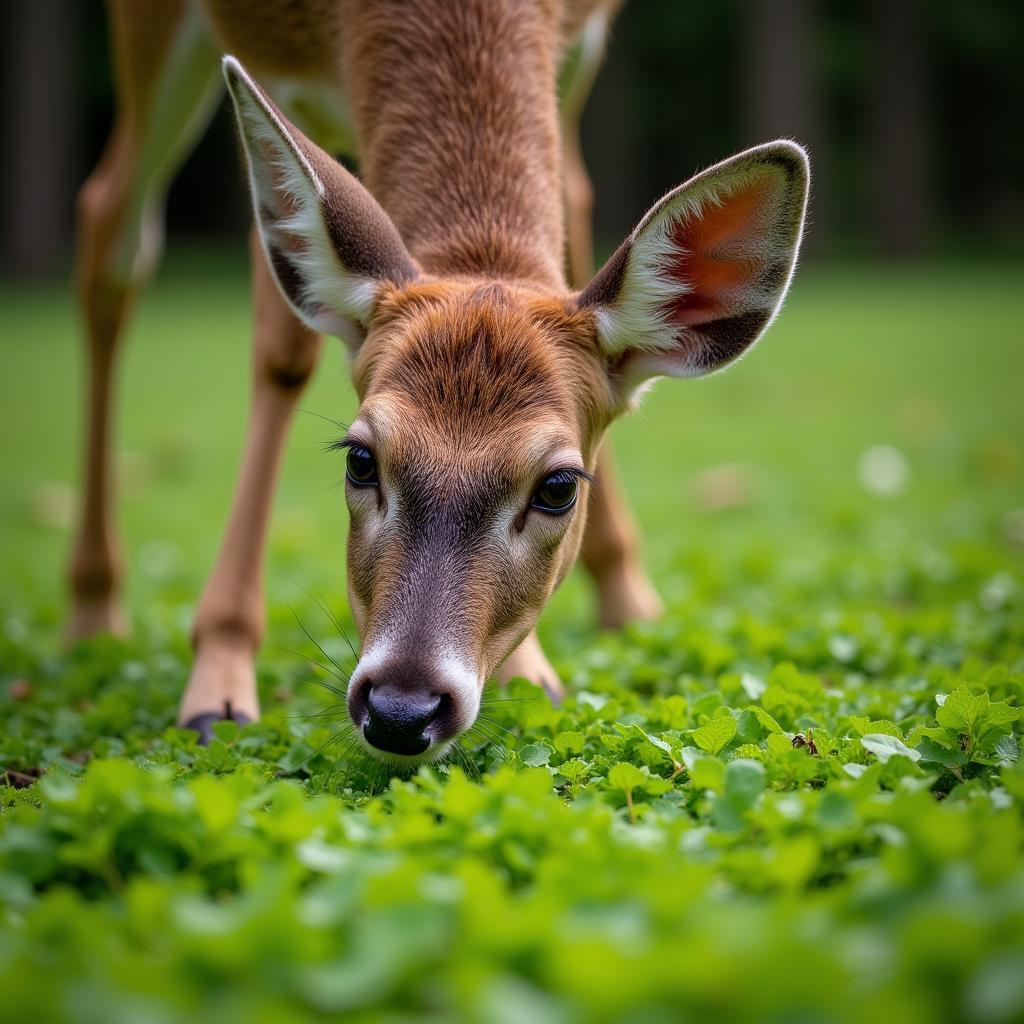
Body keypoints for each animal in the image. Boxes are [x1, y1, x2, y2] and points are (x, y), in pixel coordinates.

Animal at [70, 0, 806, 761]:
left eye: (559, 486)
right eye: (360, 459)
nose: (400, 709)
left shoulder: (579, 51)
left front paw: (536, 666)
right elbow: (283, 346)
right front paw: (217, 685)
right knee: (114, 228)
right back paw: (94, 612)